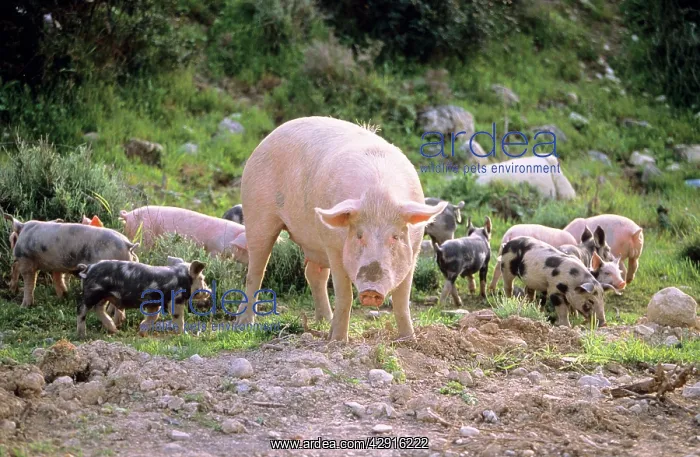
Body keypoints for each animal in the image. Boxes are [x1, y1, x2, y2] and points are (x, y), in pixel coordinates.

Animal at [4, 214, 139, 308]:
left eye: (12, 240)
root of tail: (128, 245)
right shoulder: (56, 265)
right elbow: (58, 279)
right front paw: (63, 297)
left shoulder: (26, 260)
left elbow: (30, 283)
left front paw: (24, 306)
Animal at [76, 256, 207, 339]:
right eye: (202, 279)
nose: (208, 291)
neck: (182, 279)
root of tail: (88, 267)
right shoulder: (175, 300)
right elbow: (179, 319)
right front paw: (185, 335)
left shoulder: (154, 303)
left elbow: (153, 317)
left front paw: (142, 334)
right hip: (92, 292)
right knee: (81, 309)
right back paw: (82, 335)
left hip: (103, 296)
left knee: (99, 309)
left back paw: (115, 330)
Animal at [236, 116, 448, 342]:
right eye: (359, 235)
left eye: (395, 237)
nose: (371, 290)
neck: (378, 197)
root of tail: (266, 139)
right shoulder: (334, 247)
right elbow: (345, 295)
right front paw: (338, 341)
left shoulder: (413, 250)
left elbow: (402, 301)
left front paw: (410, 340)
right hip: (257, 212)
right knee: (256, 270)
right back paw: (244, 325)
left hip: (314, 242)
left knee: (313, 274)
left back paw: (324, 321)